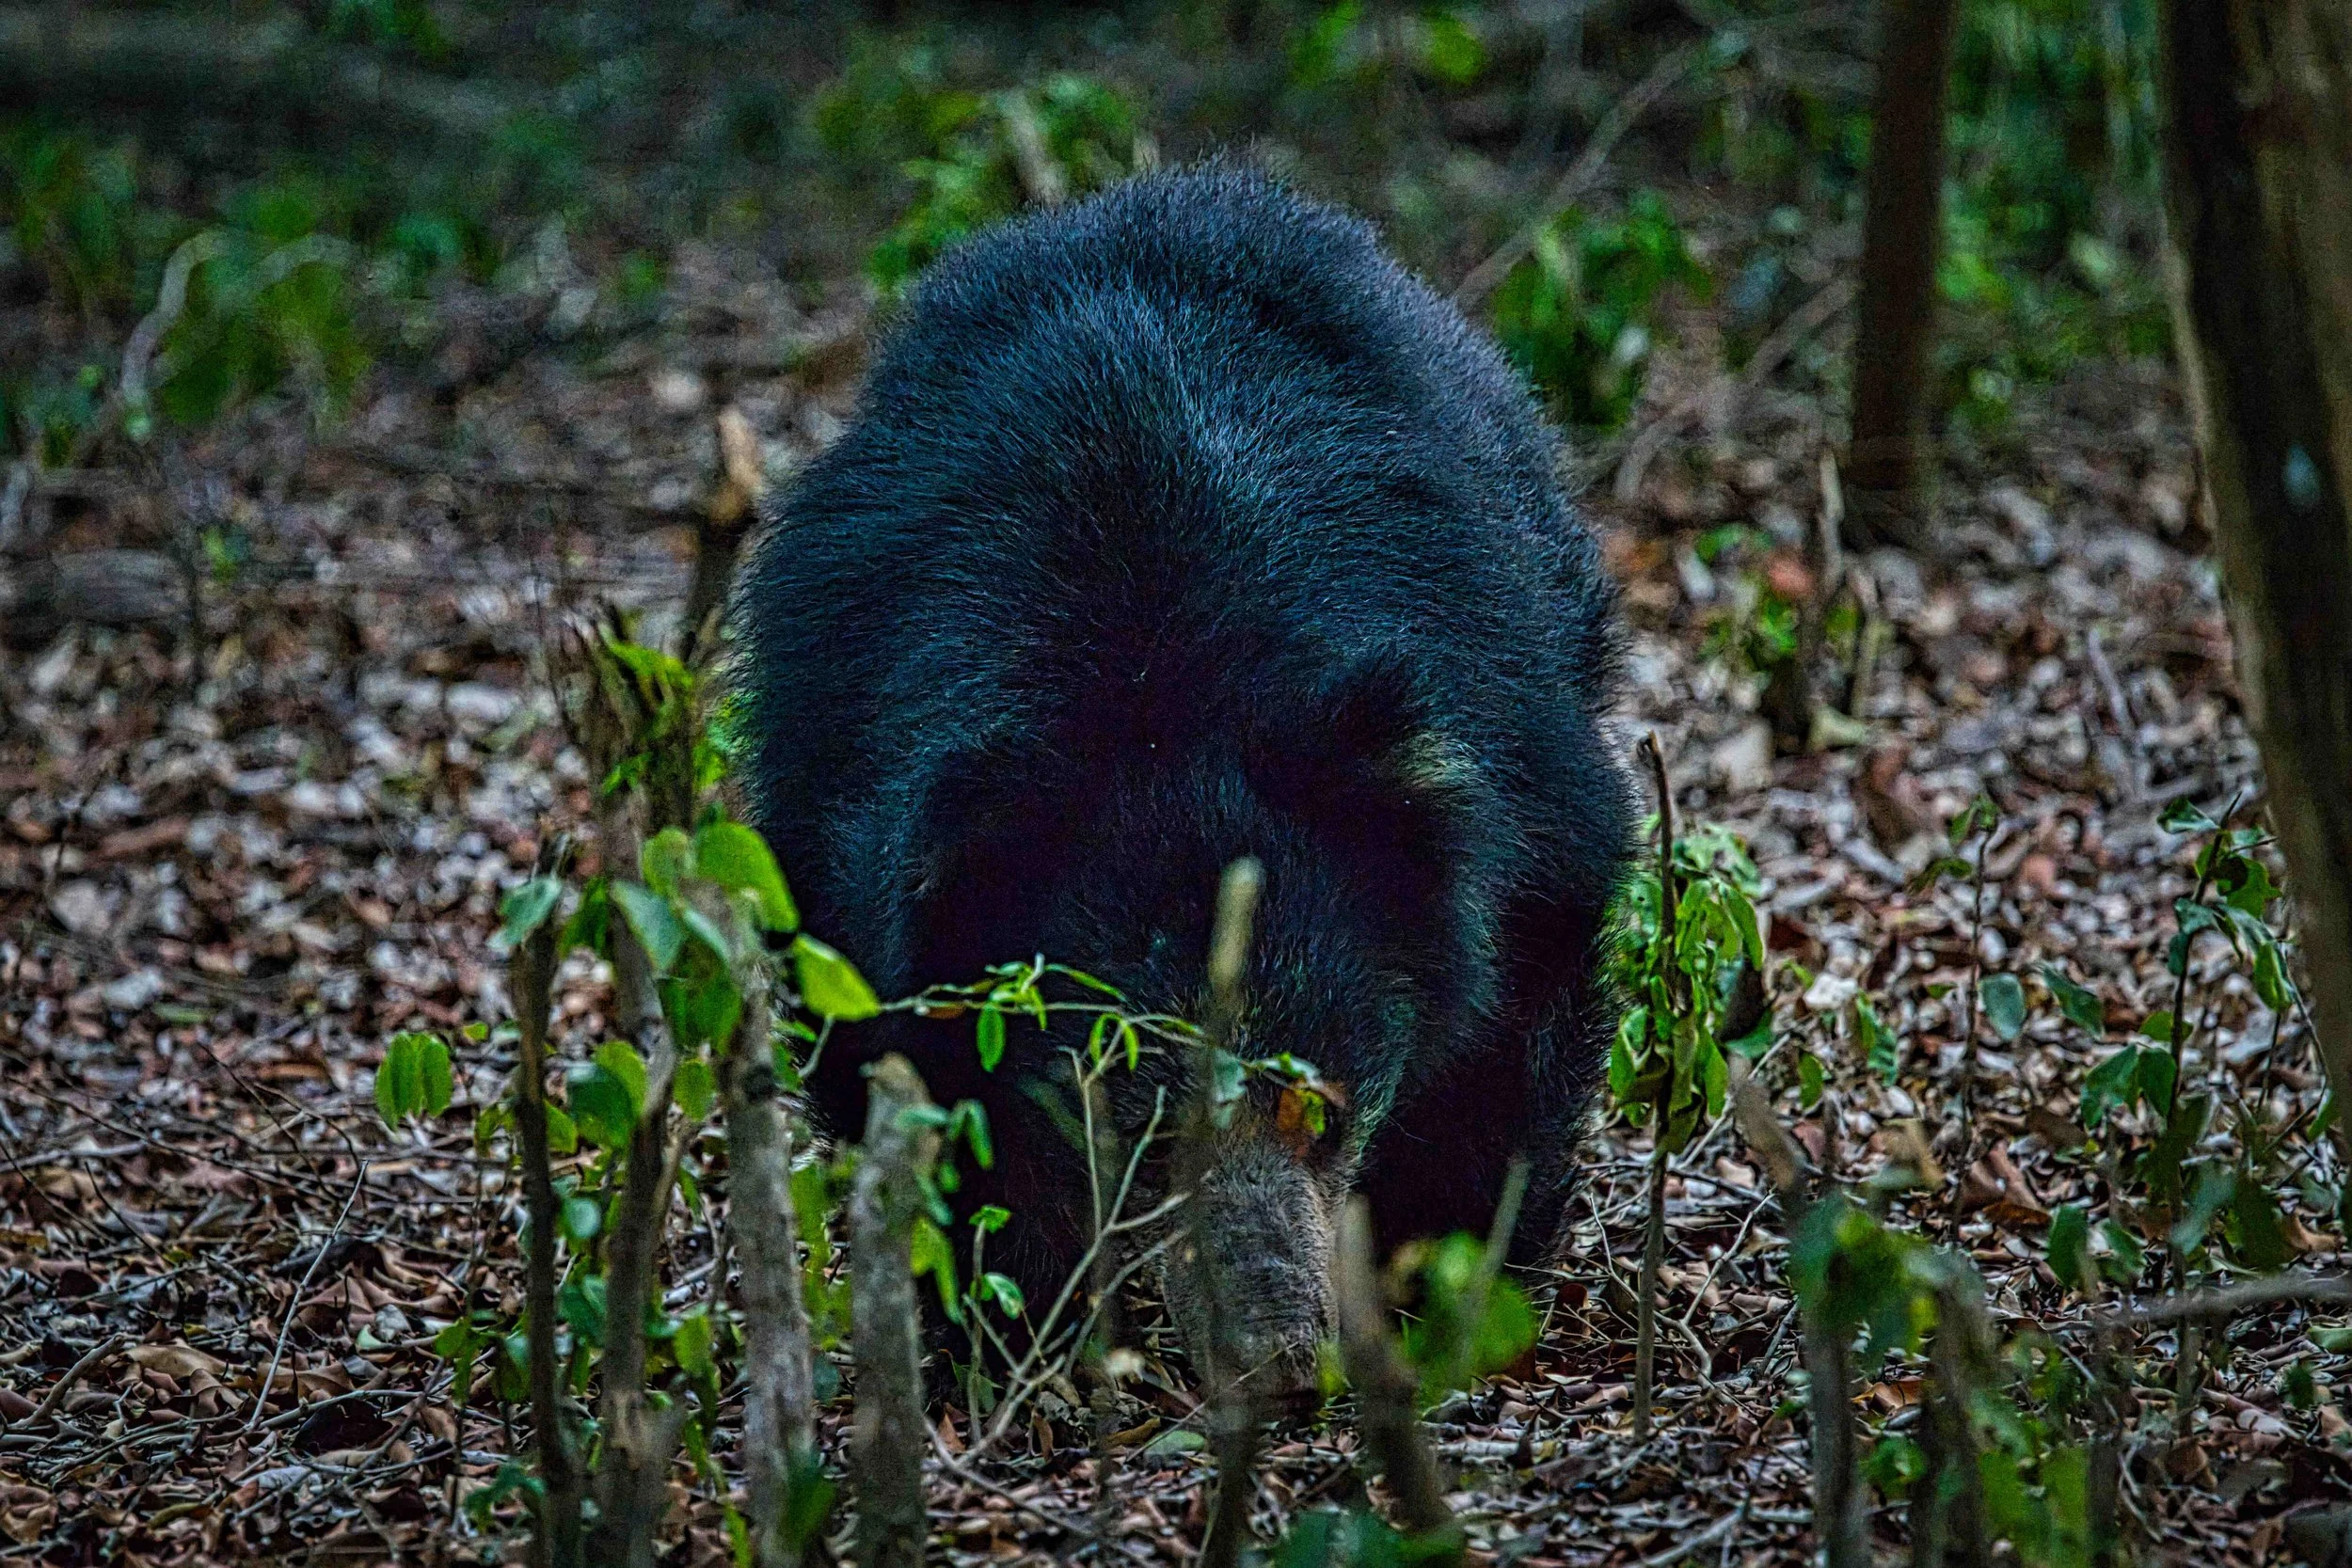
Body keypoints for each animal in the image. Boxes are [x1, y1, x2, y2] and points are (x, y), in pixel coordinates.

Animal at [733, 163, 1633, 1400]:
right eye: (1141, 1136)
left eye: (1323, 1111)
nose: (1279, 1362)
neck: (1166, 688)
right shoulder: (854, 828)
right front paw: (1010, 1330)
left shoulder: (1510, 760)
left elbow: (1506, 1017)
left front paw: (1442, 1287)